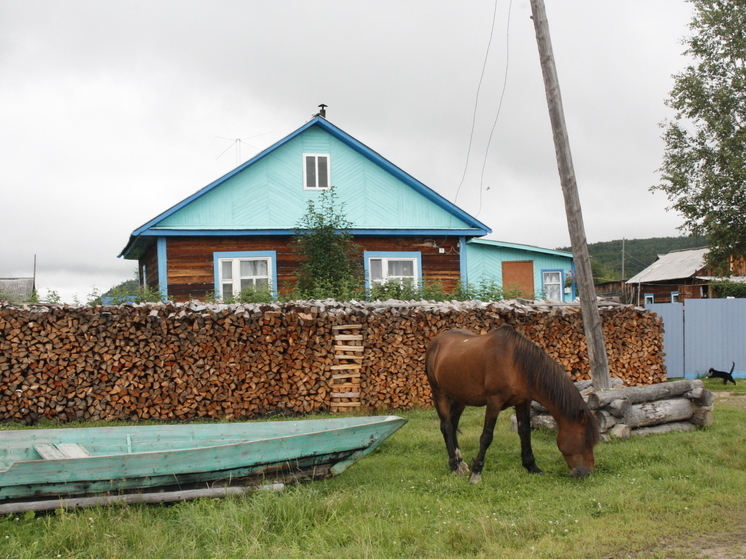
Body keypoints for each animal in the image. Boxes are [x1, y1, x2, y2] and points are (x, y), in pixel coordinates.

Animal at [424, 326, 600, 484]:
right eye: (585, 440)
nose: (586, 473)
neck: (515, 363)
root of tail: (436, 341)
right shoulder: (494, 402)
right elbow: (486, 436)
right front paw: (476, 473)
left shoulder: (523, 402)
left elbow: (525, 432)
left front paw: (532, 467)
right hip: (439, 393)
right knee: (447, 427)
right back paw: (455, 466)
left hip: (461, 398)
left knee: (453, 424)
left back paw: (460, 462)